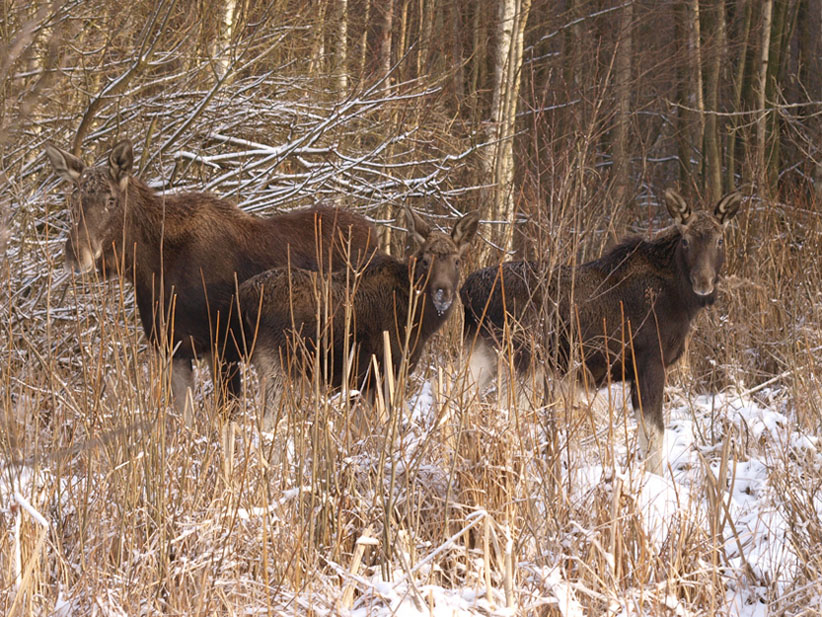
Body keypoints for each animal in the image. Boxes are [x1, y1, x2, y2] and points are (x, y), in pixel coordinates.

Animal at [45, 139, 380, 418]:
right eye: (72, 200)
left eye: (111, 199)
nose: (75, 253)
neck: (150, 268)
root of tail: (377, 234)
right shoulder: (175, 348)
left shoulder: (224, 346)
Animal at [241, 205, 480, 422]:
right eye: (425, 261)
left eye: (457, 261)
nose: (442, 293)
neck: (420, 323)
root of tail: (243, 297)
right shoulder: (386, 370)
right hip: (275, 365)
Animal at [460, 190, 744, 474]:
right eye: (685, 240)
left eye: (720, 239)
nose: (703, 282)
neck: (680, 299)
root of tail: (466, 290)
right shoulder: (650, 362)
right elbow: (654, 435)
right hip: (522, 358)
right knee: (503, 414)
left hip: (481, 354)